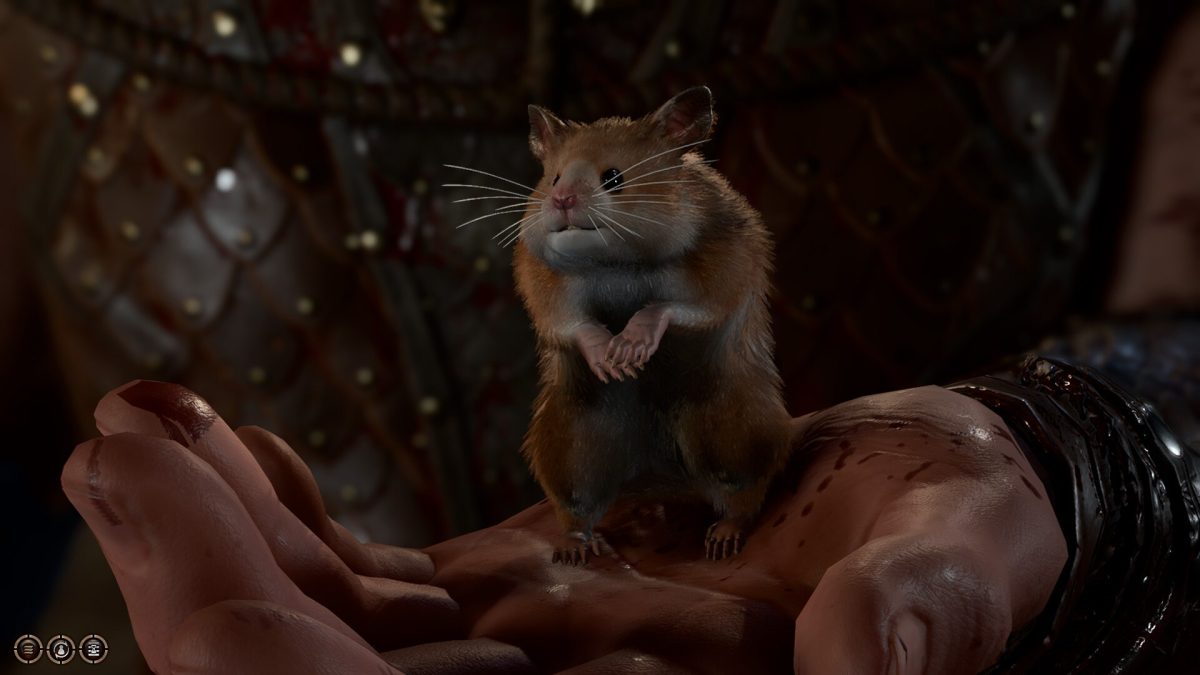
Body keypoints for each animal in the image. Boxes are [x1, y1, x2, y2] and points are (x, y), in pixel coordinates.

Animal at [513, 86, 791, 564]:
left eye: (613, 178)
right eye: (553, 178)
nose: (561, 201)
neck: (617, 263)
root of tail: (659, 482)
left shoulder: (721, 263)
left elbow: (675, 307)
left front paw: (629, 350)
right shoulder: (543, 282)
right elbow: (570, 320)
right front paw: (610, 361)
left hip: (731, 429)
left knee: (745, 493)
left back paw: (722, 541)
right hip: (571, 443)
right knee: (576, 507)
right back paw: (575, 550)